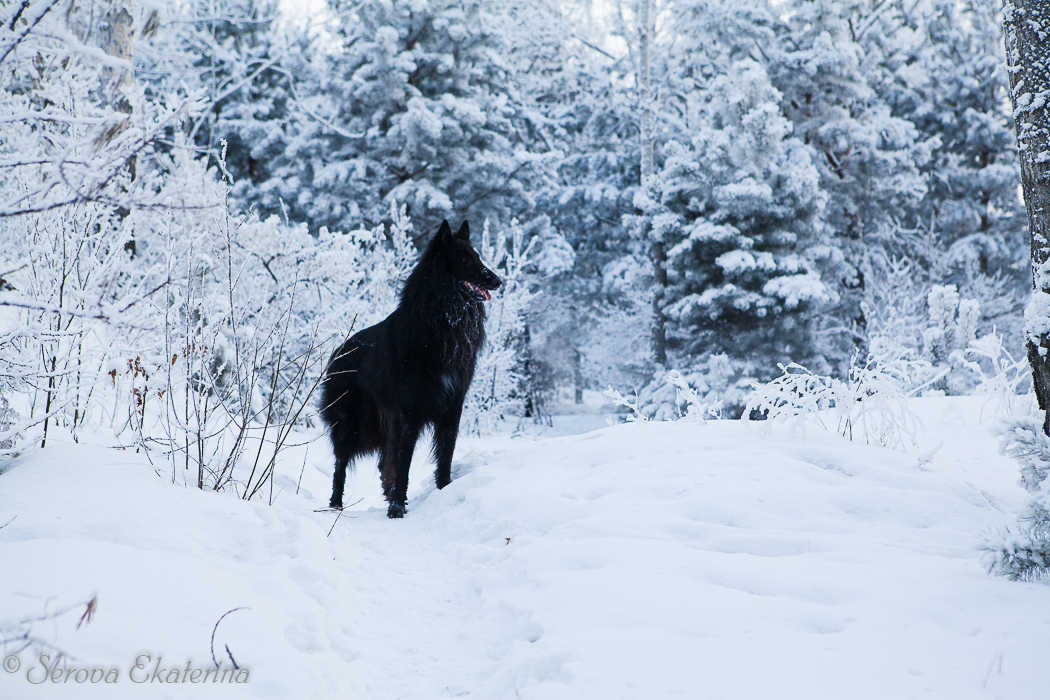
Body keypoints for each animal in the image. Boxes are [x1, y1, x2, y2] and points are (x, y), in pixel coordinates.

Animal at [319, 221, 499, 518]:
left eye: (478, 256)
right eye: (464, 259)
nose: (497, 281)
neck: (442, 322)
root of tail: (338, 353)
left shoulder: (452, 407)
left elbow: (445, 455)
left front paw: (443, 490)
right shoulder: (408, 412)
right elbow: (403, 462)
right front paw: (396, 509)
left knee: (383, 464)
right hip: (352, 426)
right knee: (341, 465)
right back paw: (335, 505)